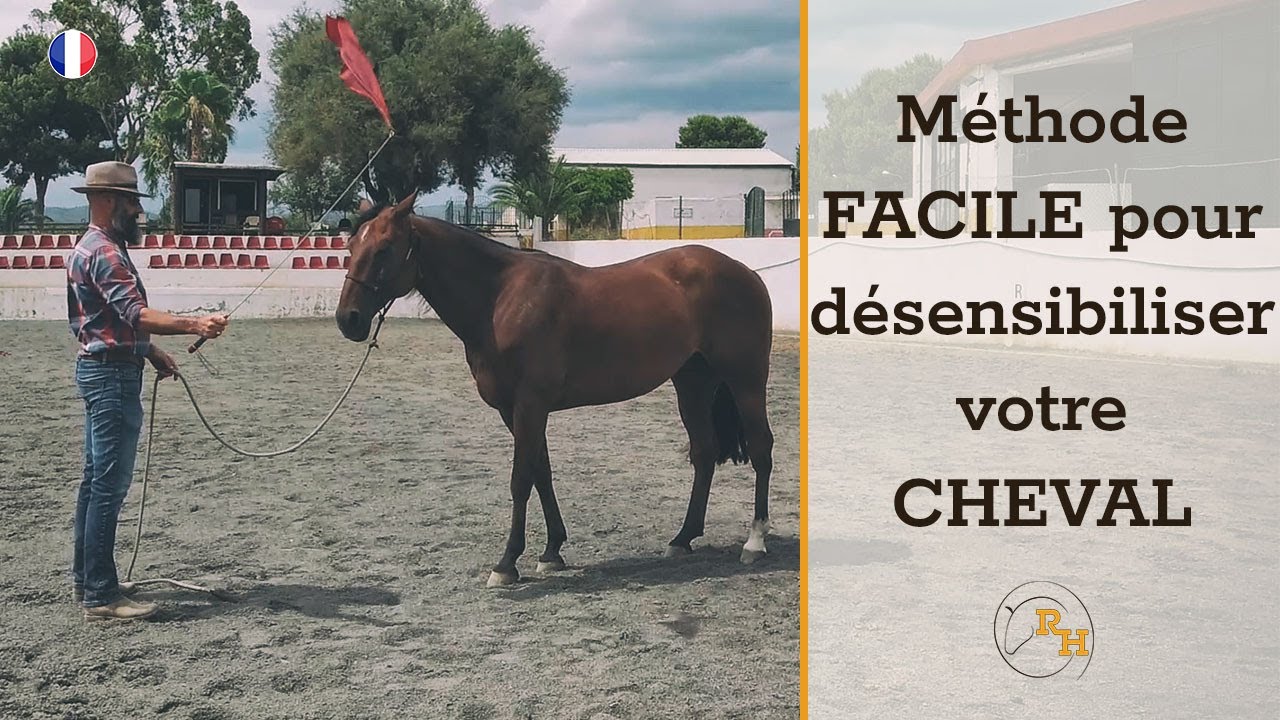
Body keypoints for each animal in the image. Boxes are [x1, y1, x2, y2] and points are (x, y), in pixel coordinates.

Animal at [336, 193, 775, 588]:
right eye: (351, 246)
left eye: (384, 249)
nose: (348, 319)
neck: (499, 299)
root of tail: (745, 272)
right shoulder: (516, 410)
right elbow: (540, 473)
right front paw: (551, 552)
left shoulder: (530, 405)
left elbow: (520, 479)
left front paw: (506, 564)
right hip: (693, 383)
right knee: (703, 454)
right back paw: (682, 538)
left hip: (747, 381)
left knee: (761, 448)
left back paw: (754, 542)